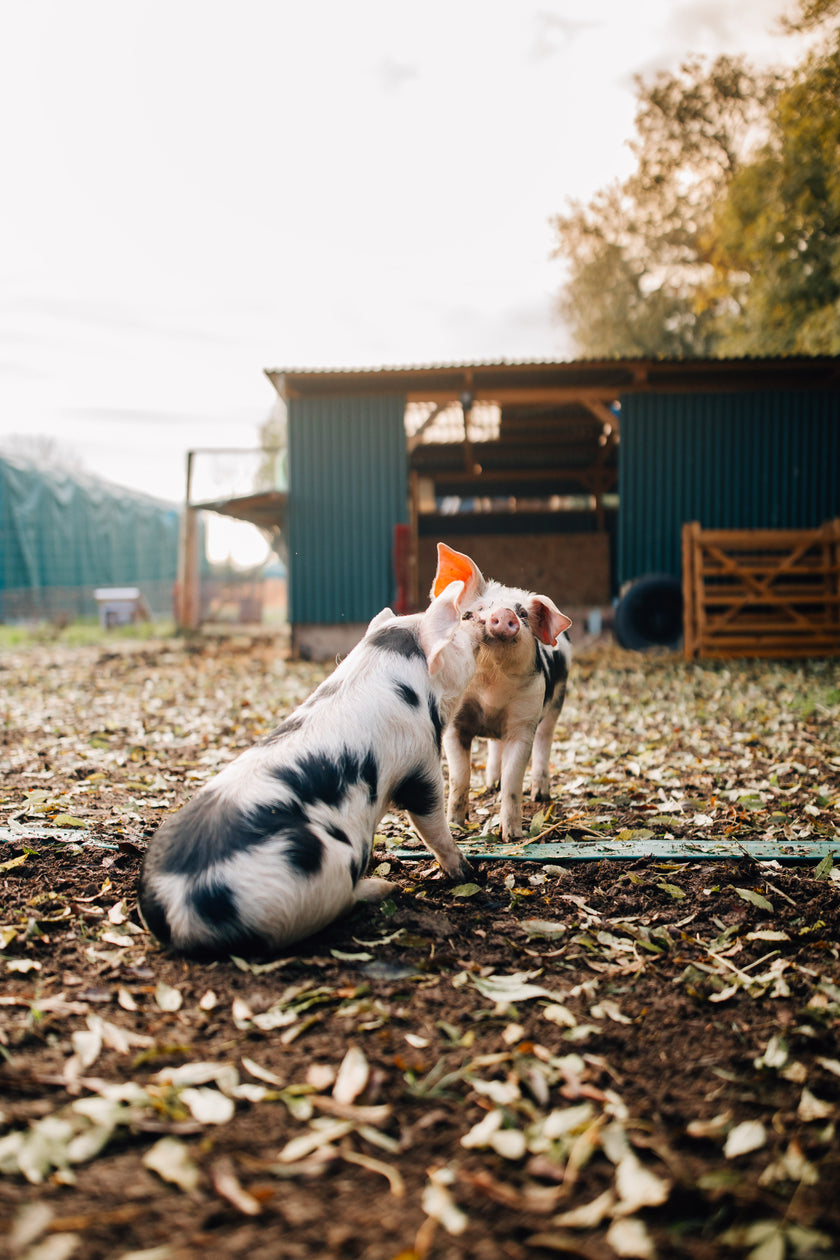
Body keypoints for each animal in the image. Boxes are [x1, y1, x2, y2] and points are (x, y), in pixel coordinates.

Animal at [138, 582, 478, 962]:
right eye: (457, 629)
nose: (475, 619)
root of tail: (180, 910)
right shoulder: (419, 759)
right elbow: (431, 819)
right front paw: (467, 872)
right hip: (324, 863)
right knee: (343, 901)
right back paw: (384, 886)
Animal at [430, 546, 574, 841]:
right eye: (477, 611)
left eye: (523, 615)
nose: (505, 613)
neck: (491, 688)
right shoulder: (455, 724)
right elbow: (460, 776)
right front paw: (456, 825)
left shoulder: (524, 722)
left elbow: (513, 781)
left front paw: (512, 836)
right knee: (494, 748)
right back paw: (490, 785)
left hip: (556, 702)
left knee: (544, 743)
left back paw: (540, 795)